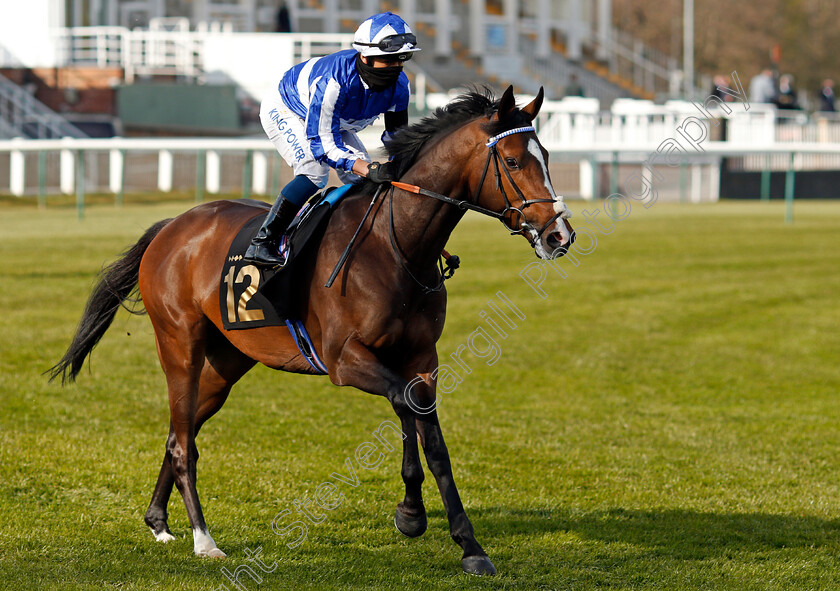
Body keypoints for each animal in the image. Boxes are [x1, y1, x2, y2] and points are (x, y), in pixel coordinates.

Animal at [52, 85, 576, 576]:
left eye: (547, 158)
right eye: (513, 160)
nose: (559, 235)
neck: (396, 246)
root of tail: (171, 227)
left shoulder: (421, 359)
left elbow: (429, 436)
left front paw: (457, 539)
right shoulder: (345, 359)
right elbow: (404, 406)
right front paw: (415, 515)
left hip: (227, 361)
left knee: (179, 430)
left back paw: (158, 521)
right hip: (180, 343)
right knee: (184, 443)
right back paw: (204, 540)